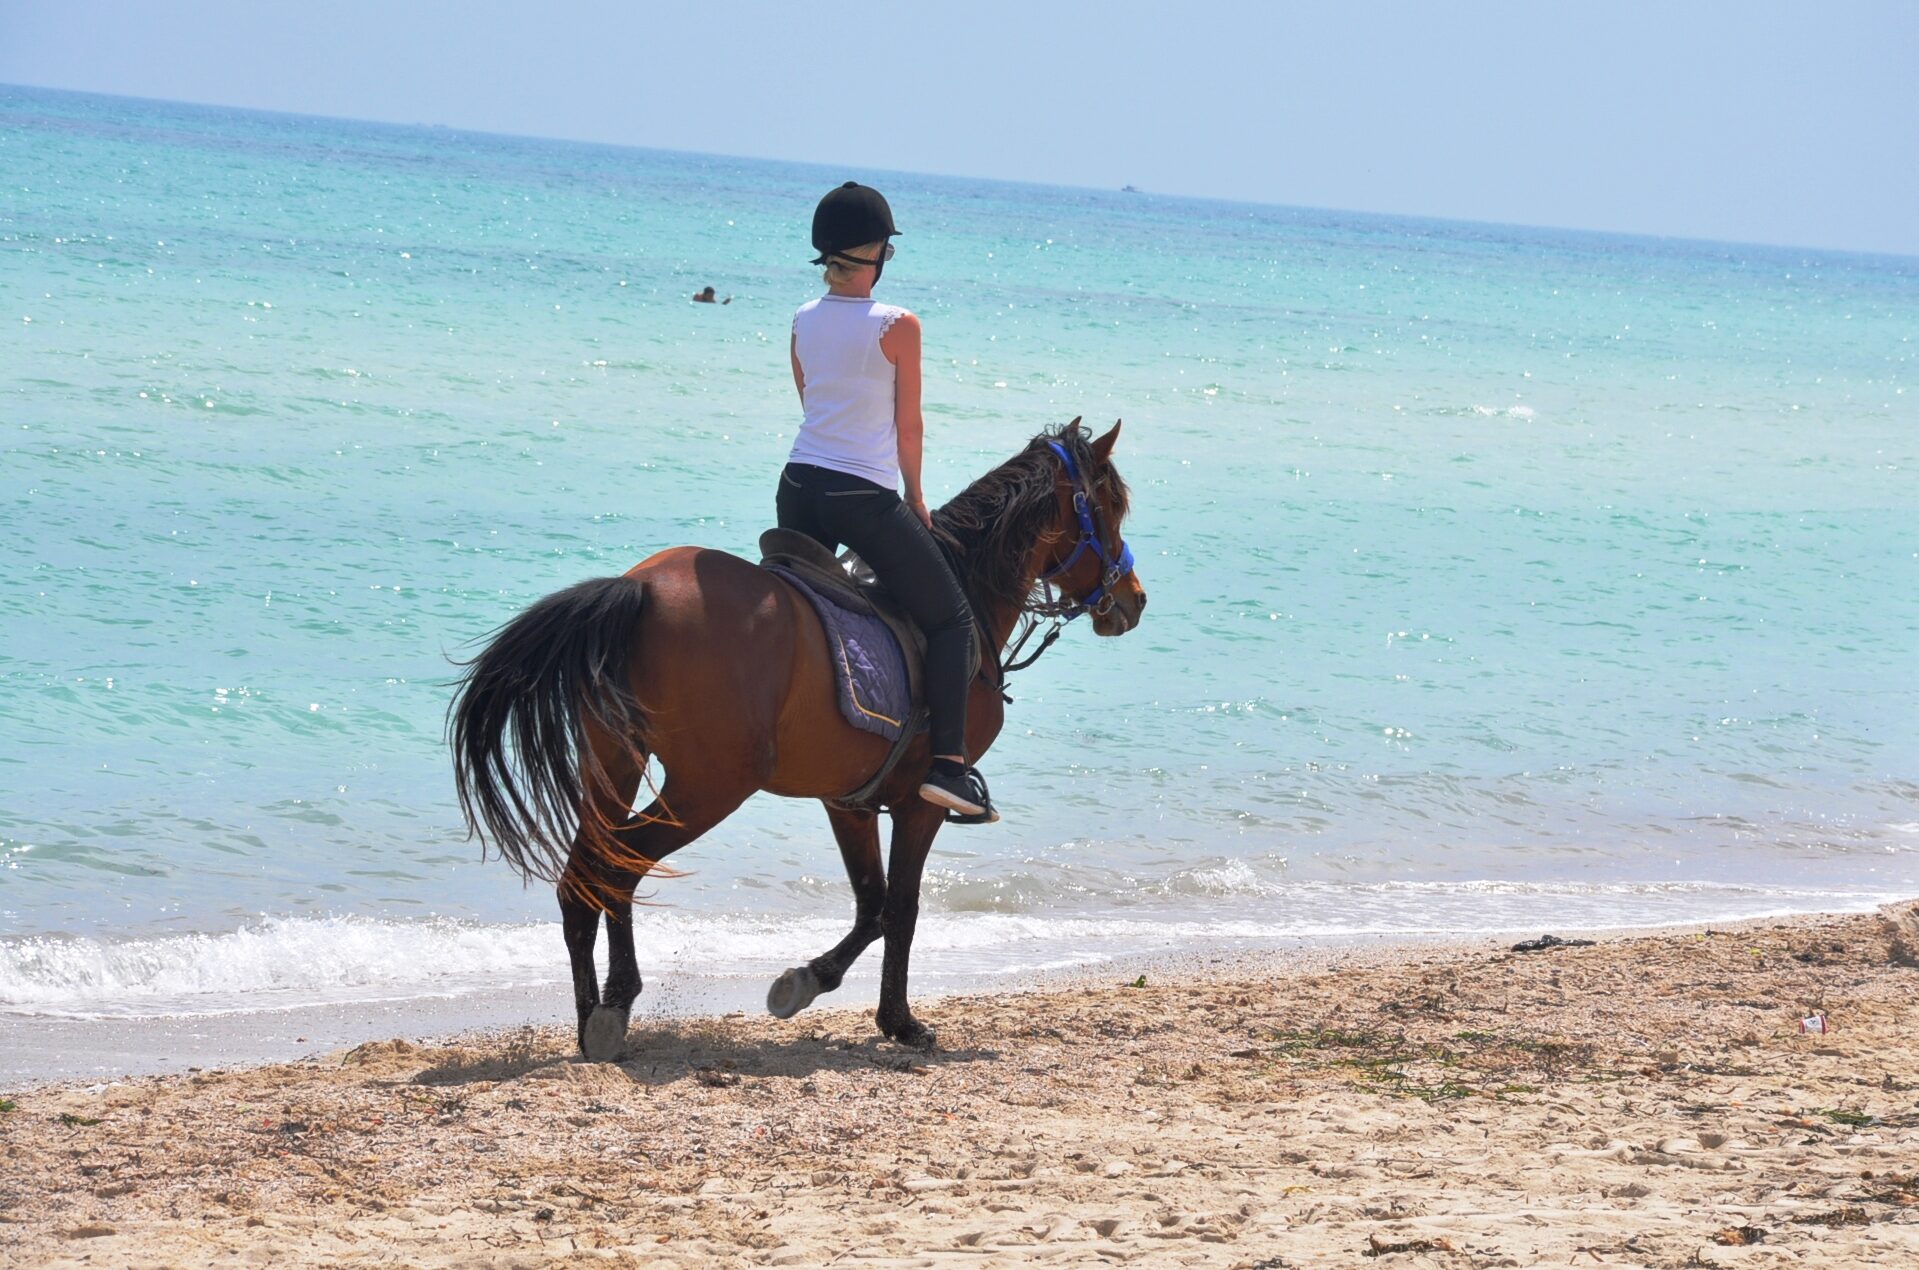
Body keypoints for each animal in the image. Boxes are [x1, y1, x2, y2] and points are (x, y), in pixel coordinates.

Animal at [449, 419, 1146, 1059]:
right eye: (1111, 506)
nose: (1134, 600)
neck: (969, 603)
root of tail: (639, 587)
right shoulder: (921, 805)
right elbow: (901, 909)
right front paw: (900, 1022)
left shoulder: (850, 801)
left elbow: (871, 904)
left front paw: (805, 982)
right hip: (709, 786)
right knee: (618, 867)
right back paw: (615, 1006)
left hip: (615, 762)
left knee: (587, 876)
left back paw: (589, 1017)